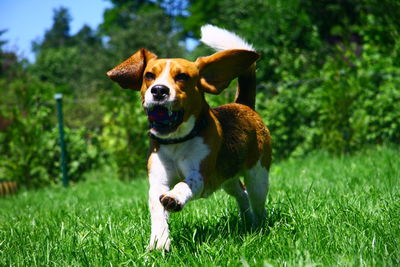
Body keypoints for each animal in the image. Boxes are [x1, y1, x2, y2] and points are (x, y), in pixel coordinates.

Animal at [106, 24, 272, 251]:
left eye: (182, 77)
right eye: (149, 75)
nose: (159, 90)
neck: (176, 141)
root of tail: (243, 105)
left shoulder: (200, 173)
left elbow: (186, 183)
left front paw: (175, 197)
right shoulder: (158, 181)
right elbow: (157, 208)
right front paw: (159, 242)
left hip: (258, 177)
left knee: (257, 200)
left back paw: (259, 226)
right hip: (227, 178)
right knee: (242, 193)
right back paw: (248, 221)